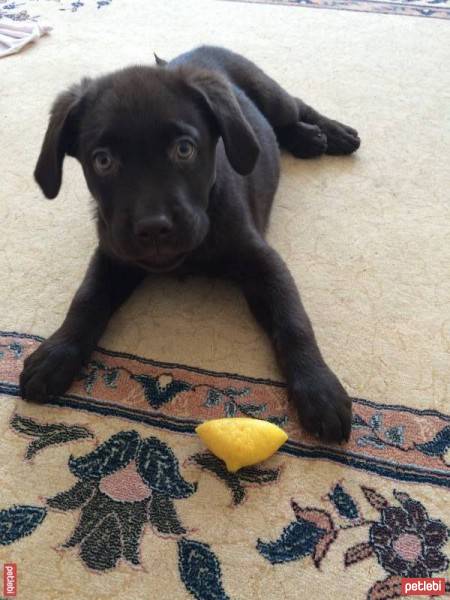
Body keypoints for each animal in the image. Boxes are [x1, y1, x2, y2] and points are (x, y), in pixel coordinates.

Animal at [21, 45, 360, 440]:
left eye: (184, 150)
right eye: (103, 161)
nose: (154, 228)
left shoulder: (262, 261)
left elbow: (293, 319)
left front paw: (319, 388)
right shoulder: (112, 255)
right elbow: (86, 299)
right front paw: (56, 354)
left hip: (269, 93)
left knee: (296, 108)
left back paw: (329, 134)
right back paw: (310, 140)